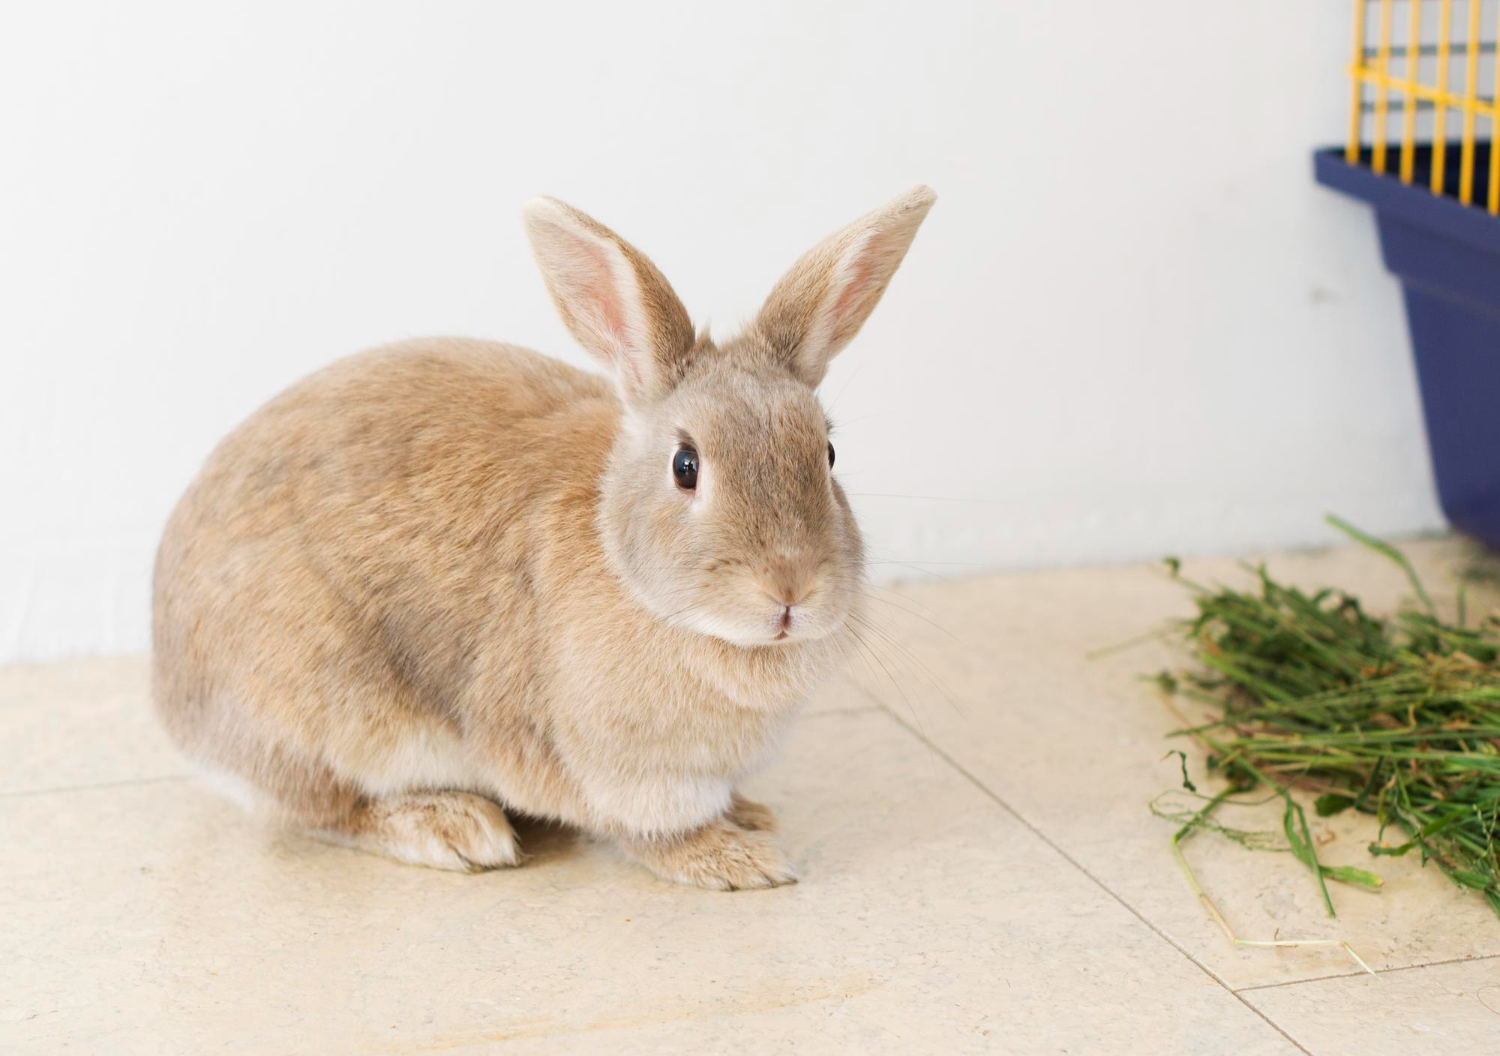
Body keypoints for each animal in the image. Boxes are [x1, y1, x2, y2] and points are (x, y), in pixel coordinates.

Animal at [152, 185, 936, 889]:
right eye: (686, 465)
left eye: (826, 454)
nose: (790, 589)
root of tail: (174, 700)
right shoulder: (620, 772)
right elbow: (651, 832)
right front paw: (739, 858)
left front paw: (752, 816)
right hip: (325, 713)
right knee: (325, 810)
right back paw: (453, 828)